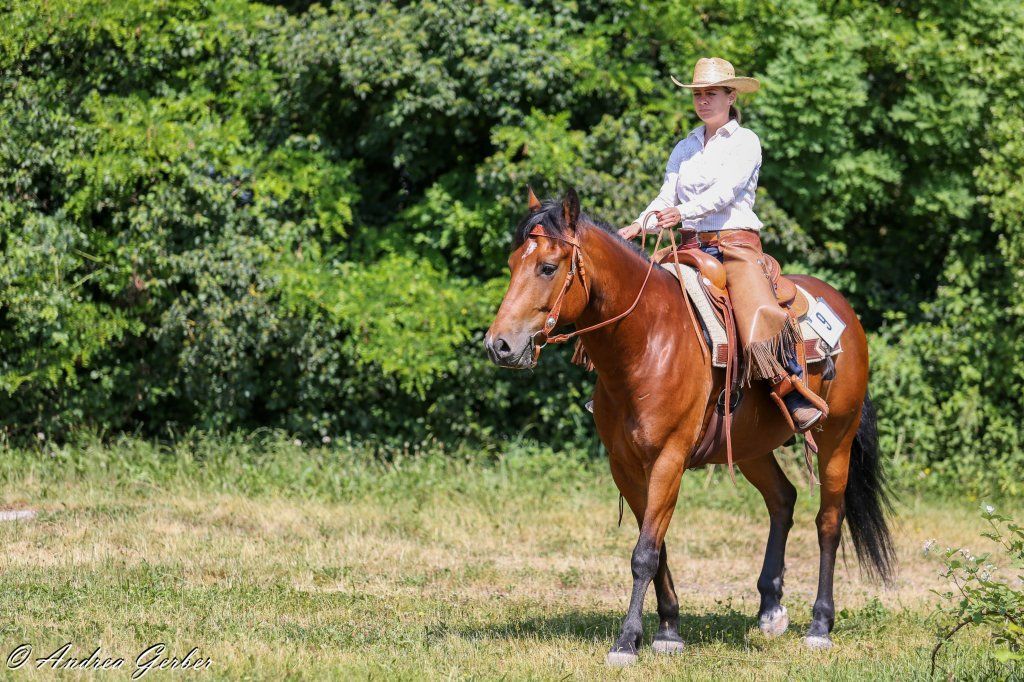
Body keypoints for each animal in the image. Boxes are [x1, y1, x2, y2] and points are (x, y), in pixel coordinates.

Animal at [484, 188, 894, 666]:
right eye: (513, 263)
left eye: (548, 267)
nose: (499, 345)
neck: (647, 340)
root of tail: (846, 313)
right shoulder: (625, 466)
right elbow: (656, 547)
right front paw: (667, 630)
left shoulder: (669, 459)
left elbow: (644, 553)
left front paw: (626, 641)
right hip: (752, 447)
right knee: (782, 500)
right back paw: (770, 609)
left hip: (837, 439)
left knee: (828, 521)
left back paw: (820, 625)